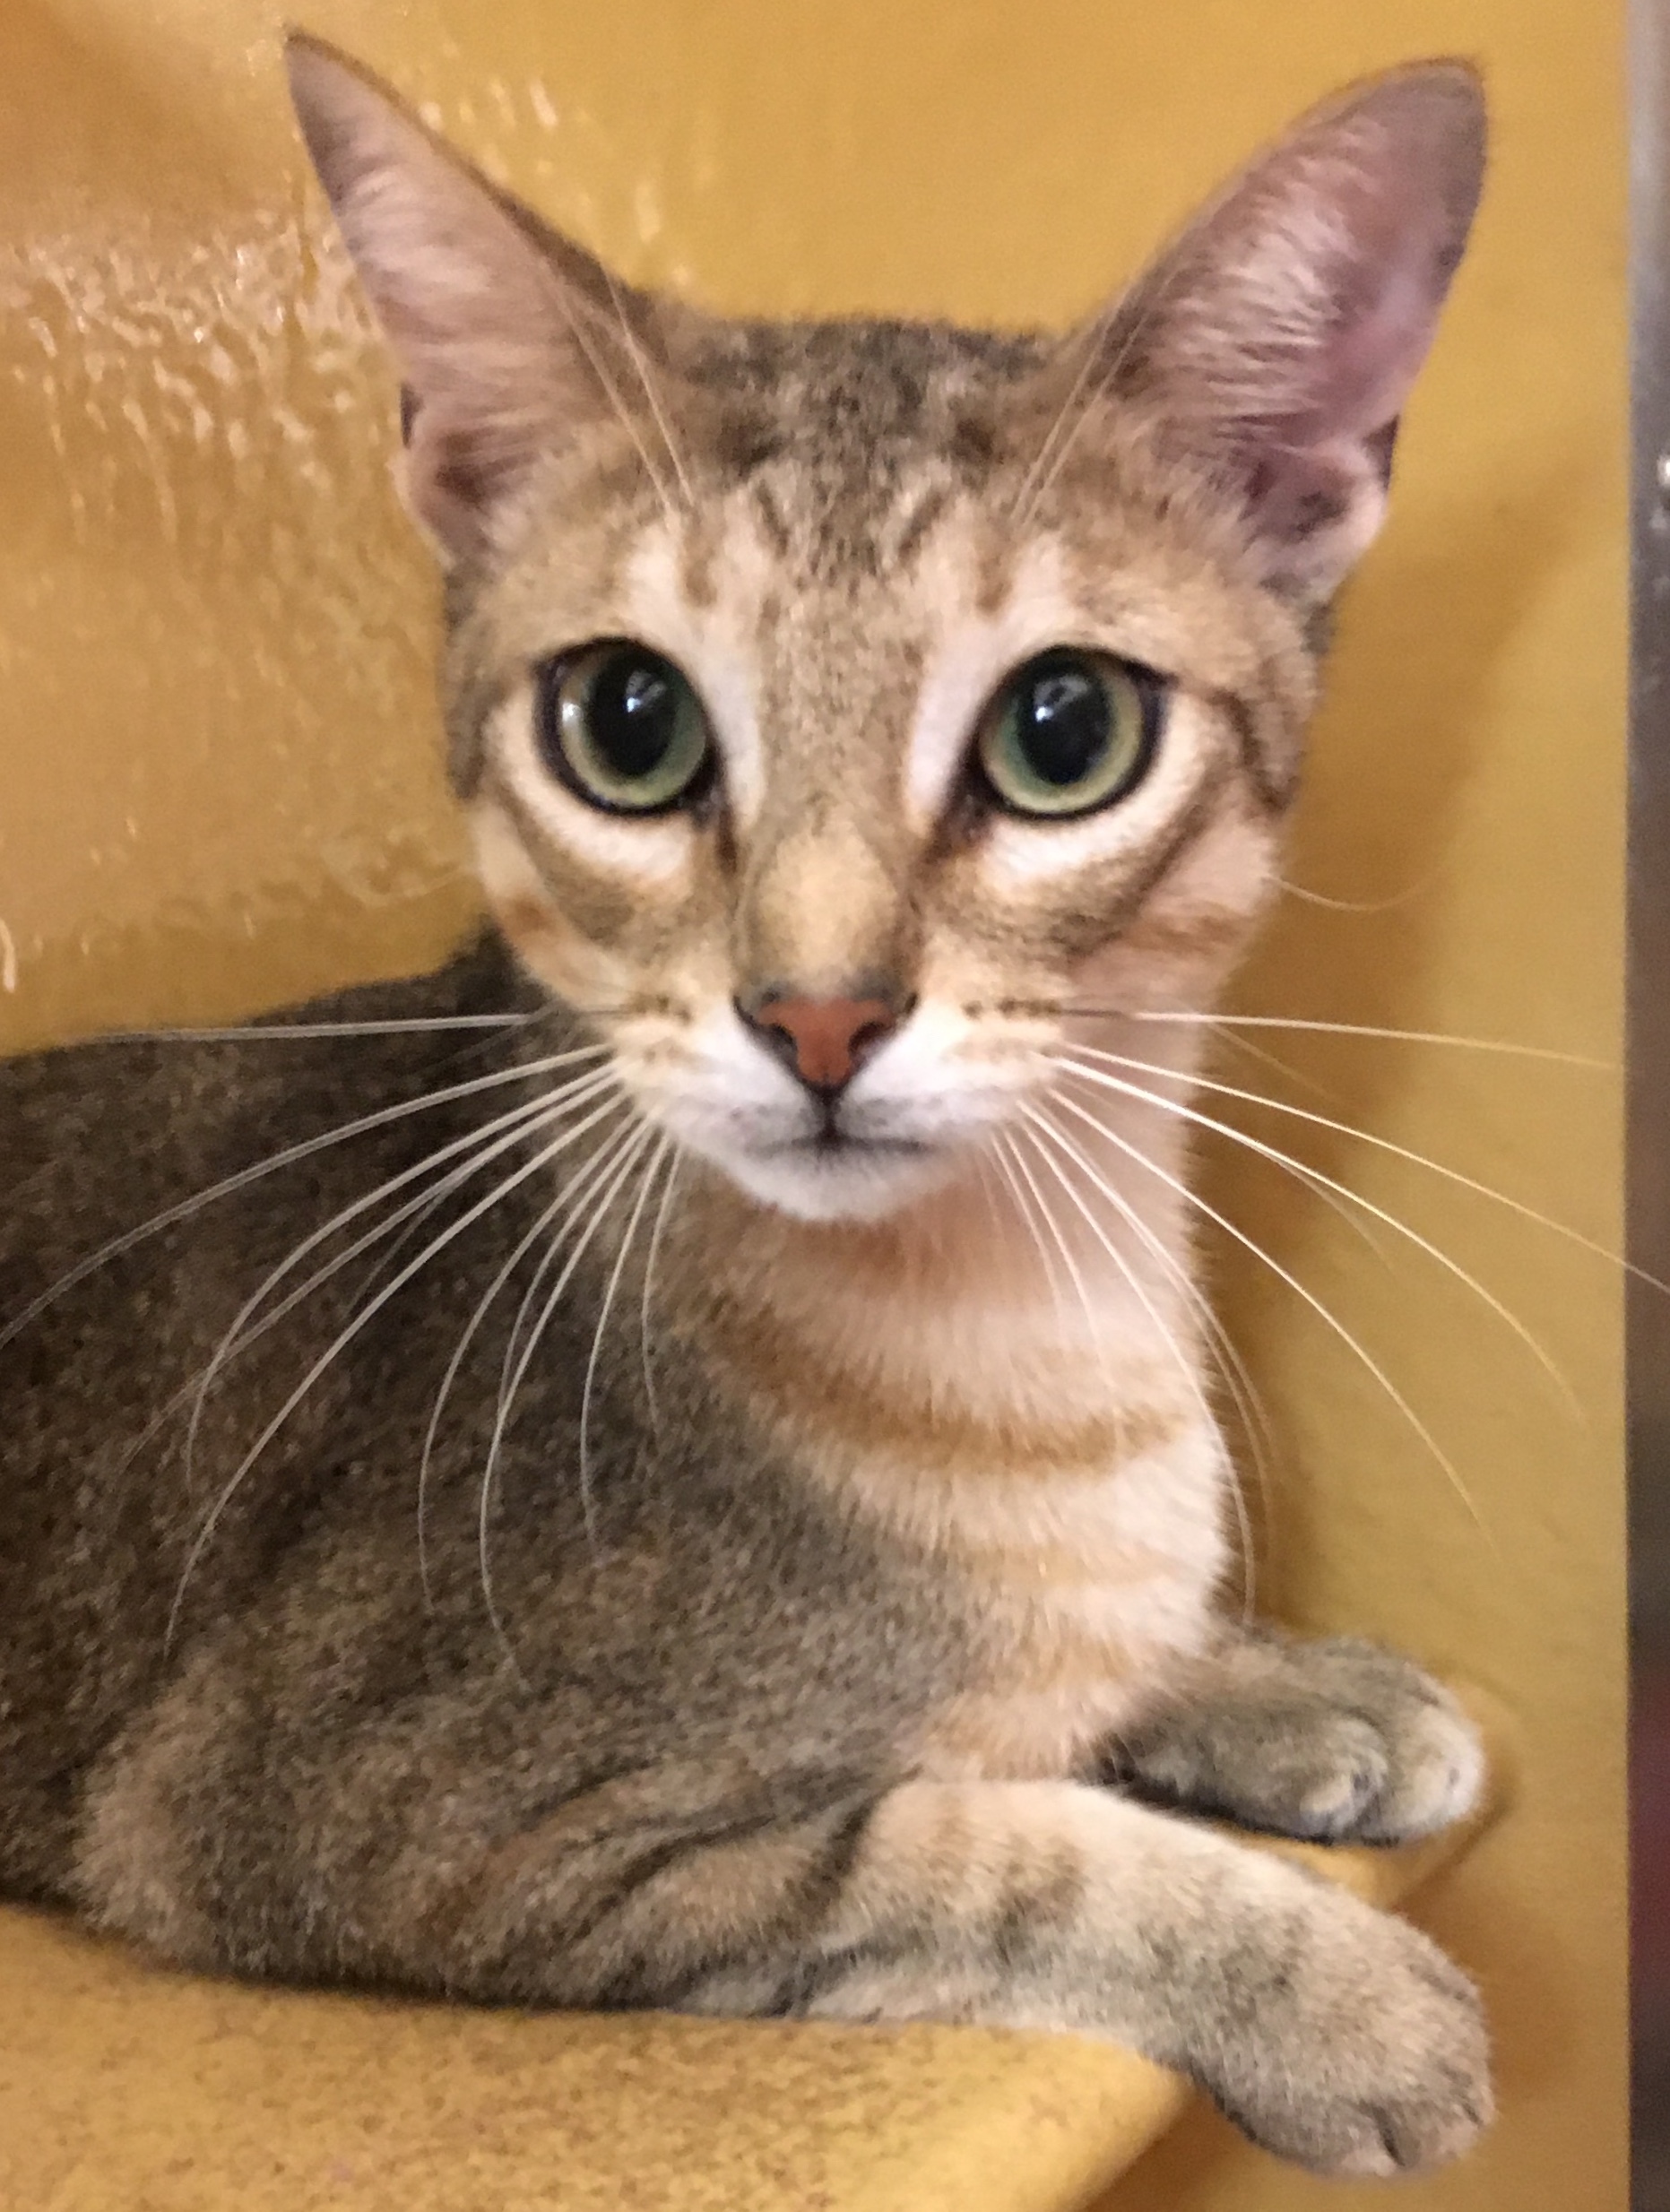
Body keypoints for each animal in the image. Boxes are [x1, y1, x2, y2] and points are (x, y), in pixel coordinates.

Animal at [0, 34, 1495, 2176]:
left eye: (1064, 730)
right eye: (625, 722)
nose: (816, 1011)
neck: (1018, 1344)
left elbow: (1073, 1675)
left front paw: (1266, 1685)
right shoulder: (398, 1814)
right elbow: (978, 1843)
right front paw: (1324, 1986)